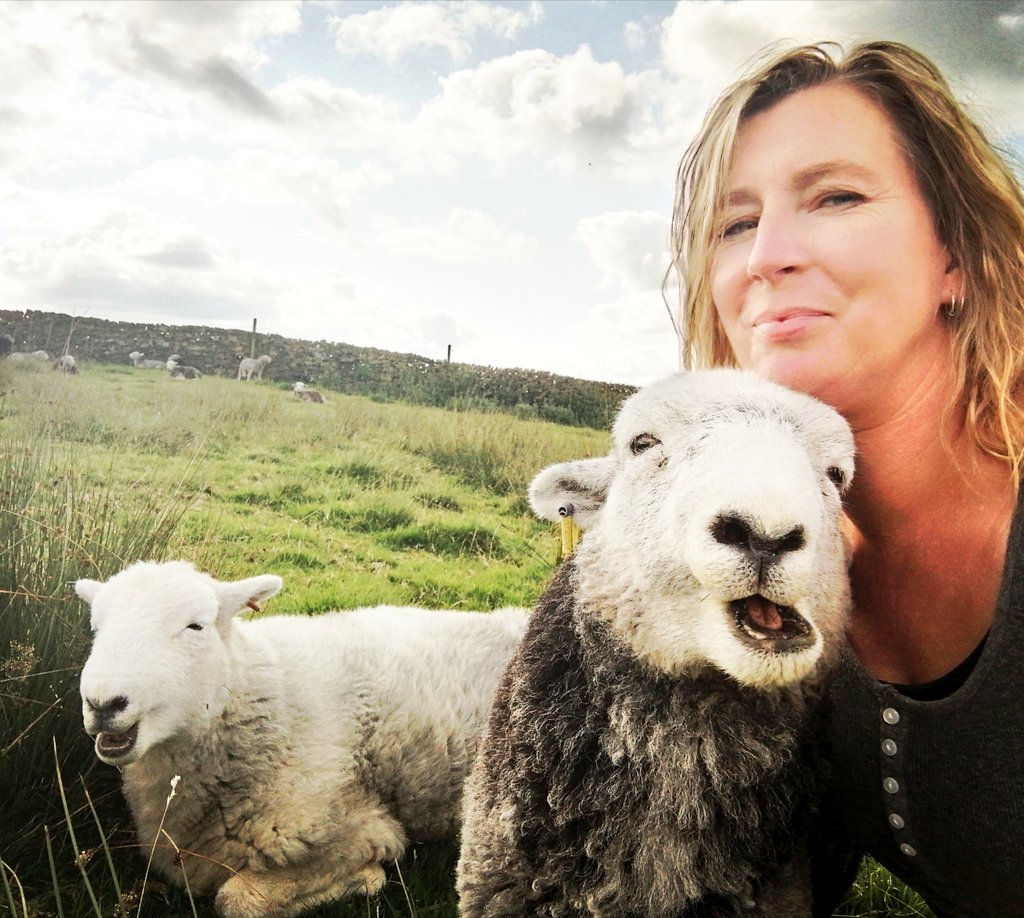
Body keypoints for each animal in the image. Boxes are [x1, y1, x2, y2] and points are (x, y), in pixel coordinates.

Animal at [77, 560, 530, 918]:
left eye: (196, 625)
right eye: (96, 628)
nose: (103, 703)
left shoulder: (362, 828)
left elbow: (236, 900)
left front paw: (364, 879)